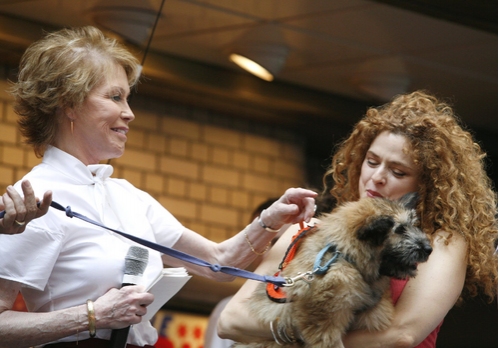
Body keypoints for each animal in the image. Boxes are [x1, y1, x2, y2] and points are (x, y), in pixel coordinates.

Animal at [234, 194, 434, 346]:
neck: (345, 256)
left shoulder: (373, 313)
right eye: (400, 230)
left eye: (413, 225)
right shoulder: (325, 326)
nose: (429, 249)